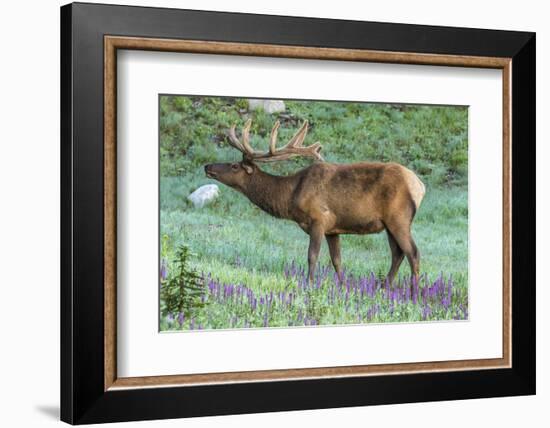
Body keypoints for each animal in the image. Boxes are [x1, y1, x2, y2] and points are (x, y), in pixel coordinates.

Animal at [207, 118, 426, 282]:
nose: (207, 166)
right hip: (389, 224)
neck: (291, 196)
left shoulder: (319, 219)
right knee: (397, 254)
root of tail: (420, 186)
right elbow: (337, 260)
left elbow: (312, 256)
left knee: (413, 253)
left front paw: (310, 284)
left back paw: (413, 294)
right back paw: (384, 287)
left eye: (234, 166)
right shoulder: (333, 229)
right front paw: (343, 287)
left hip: (399, 218)